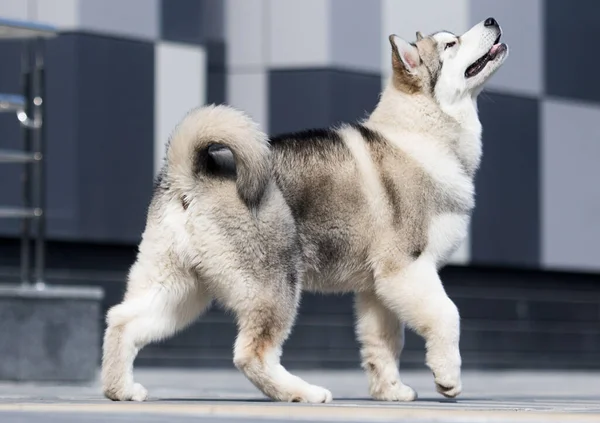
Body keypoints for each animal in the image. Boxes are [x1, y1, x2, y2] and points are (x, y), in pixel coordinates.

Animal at [102, 17, 506, 404]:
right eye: (450, 44)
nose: (491, 20)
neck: (420, 134)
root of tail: (190, 175)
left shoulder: (380, 289)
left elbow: (384, 344)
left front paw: (390, 390)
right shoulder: (409, 269)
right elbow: (447, 316)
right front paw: (448, 377)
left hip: (179, 289)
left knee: (122, 320)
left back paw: (120, 389)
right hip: (274, 286)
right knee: (251, 354)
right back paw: (303, 393)